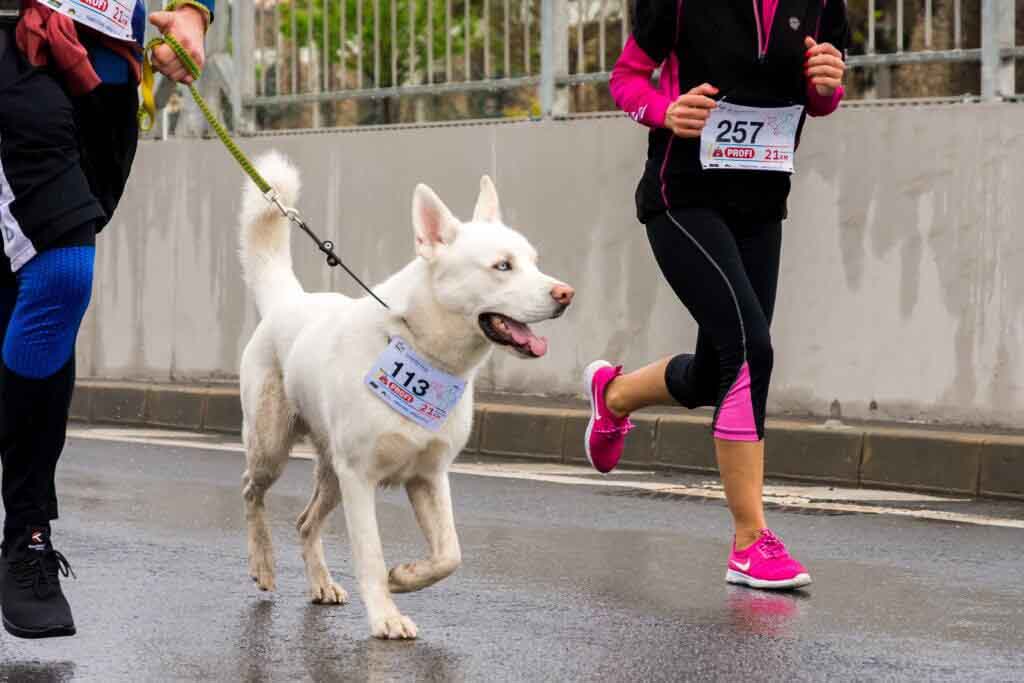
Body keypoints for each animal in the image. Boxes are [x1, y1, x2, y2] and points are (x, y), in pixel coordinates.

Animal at [236, 153, 577, 643]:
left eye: (534, 262)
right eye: (502, 266)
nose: (566, 294)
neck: (419, 347)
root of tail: (289, 301)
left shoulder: (430, 476)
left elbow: (450, 555)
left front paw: (405, 577)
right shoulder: (360, 478)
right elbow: (371, 555)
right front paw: (386, 615)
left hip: (331, 474)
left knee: (304, 522)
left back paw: (321, 582)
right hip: (273, 448)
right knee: (251, 492)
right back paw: (262, 562)